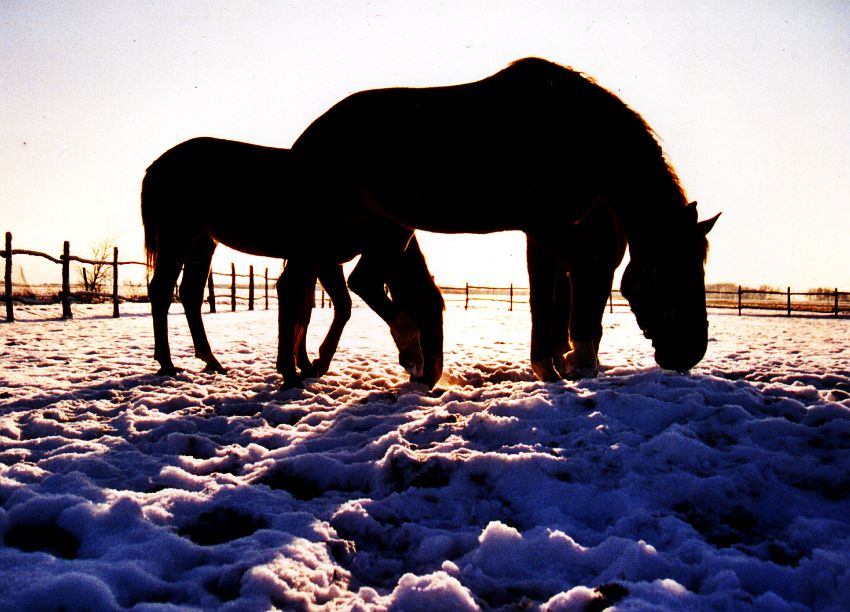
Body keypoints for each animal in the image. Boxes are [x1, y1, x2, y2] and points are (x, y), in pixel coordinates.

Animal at [139, 137, 444, 388]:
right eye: (431, 311)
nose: (431, 377)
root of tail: (154, 167)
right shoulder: (320, 260)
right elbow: (328, 306)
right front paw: (306, 366)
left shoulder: (321, 263)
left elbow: (308, 310)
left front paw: (306, 364)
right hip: (178, 236)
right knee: (162, 291)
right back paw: (167, 364)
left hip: (203, 241)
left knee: (190, 294)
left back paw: (212, 361)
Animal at [290, 57, 716, 376]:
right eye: (666, 272)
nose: (691, 350)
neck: (575, 132)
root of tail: (309, 138)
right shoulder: (546, 227)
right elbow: (580, 271)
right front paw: (579, 358)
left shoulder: (542, 233)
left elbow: (544, 295)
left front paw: (550, 367)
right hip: (375, 232)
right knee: (353, 283)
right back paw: (406, 352)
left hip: (388, 232)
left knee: (352, 284)